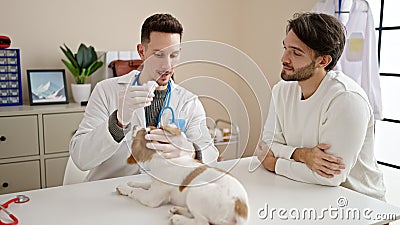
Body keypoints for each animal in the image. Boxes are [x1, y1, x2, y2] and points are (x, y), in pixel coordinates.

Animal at [115, 125, 248, 224]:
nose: (134, 126)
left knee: (201, 222)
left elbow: (136, 192)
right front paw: (133, 182)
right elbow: (145, 184)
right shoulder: (154, 184)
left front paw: (124, 188)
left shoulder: (152, 198)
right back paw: (177, 210)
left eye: (144, 130)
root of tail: (240, 208)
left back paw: (177, 219)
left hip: (197, 190)